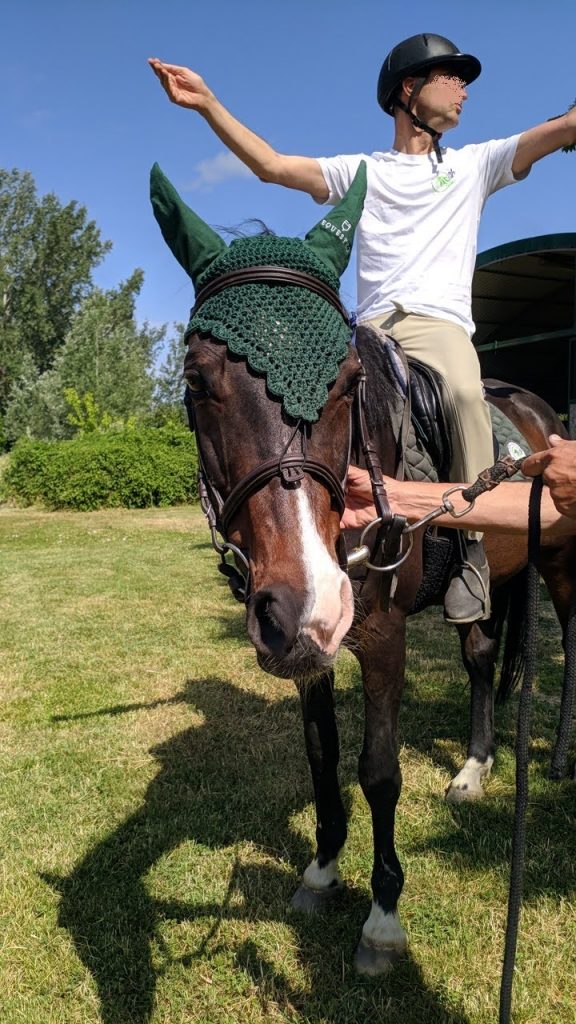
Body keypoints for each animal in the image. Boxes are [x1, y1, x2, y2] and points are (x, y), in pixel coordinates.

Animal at [150, 161, 569, 974]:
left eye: (346, 380)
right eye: (196, 381)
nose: (305, 602)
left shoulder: (381, 637)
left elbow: (378, 770)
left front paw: (381, 917)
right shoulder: (309, 647)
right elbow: (322, 757)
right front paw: (321, 872)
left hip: (562, 566)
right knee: (482, 655)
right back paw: (475, 766)